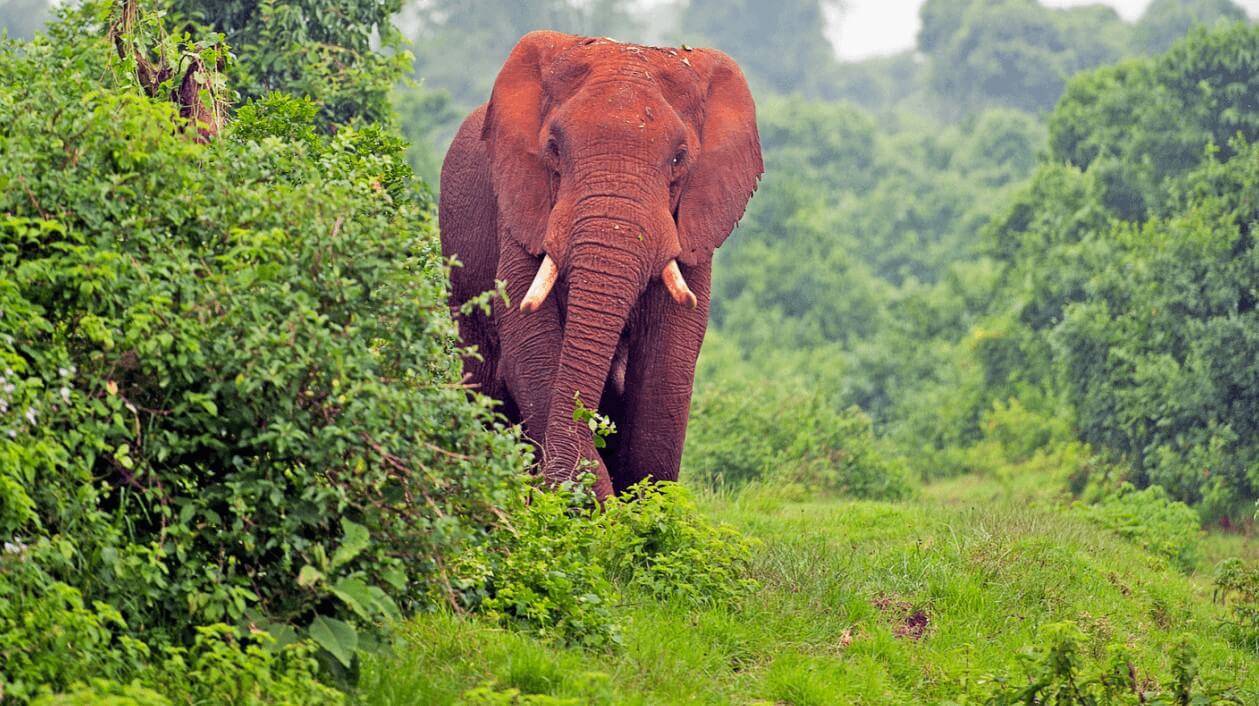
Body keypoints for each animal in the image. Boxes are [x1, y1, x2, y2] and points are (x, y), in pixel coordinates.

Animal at [438, 30, 760, 498]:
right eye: (553, 149)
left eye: (679, 158)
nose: (556, 487)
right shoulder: (519, 206)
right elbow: (528, 338)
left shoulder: (696, 225)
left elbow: (670, 352)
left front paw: (647, 507)